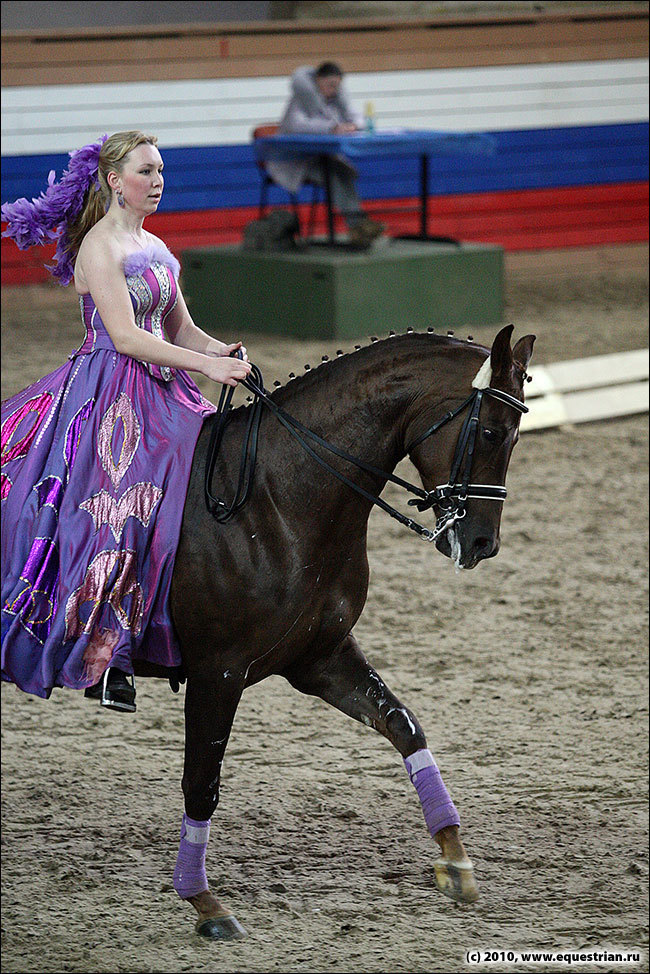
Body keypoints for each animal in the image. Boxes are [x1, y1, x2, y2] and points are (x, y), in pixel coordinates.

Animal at [148, 324, 536, 940]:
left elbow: (405, 726)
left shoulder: (320, 657)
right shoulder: (218, 672)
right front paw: (205, 902)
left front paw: (454, 859)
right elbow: (202, 782)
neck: (275, 498)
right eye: (493, 431)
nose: (482, 544)